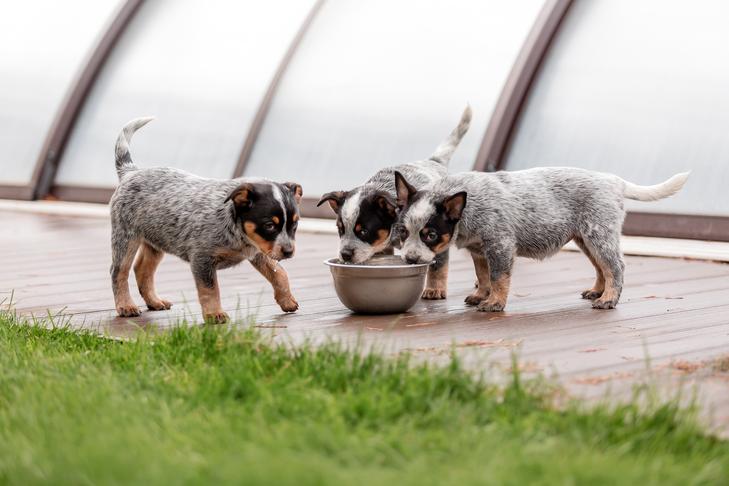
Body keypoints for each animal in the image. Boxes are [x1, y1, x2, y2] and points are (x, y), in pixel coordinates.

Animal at [108, 117, 302, 322]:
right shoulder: (202, 259)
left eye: (295, 224)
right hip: (125, 238)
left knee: (142, 270)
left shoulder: (259, 251)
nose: (289, 251)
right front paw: (214, 314)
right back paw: (125, 306)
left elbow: (279, 273)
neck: (233, 226)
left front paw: (287, 300)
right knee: (118, 272)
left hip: (155, 241)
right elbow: (210, 289)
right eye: (269, 225)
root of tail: (131, 172)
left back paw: (154, 301)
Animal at [318, 106, 472, 300]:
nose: (344, 255)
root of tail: (433, 161)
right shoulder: (383, 247)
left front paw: (434, 289)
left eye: (364, 231)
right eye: (340, 229)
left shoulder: (439, 239)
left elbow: (438, 266)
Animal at [392, 167, 688, 312]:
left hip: (599, 235)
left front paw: (495, 303)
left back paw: (608, 299)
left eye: (430, 235)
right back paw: (597, 291)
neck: (468, 206)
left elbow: (499, 278)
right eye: (403, 232)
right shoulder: (479, 249)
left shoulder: (500, 245)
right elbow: (483, 275)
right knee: (601, 267)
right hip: (587, 239)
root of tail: (615, 180)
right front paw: (481, 295)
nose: (411, 259)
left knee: (615, 268)